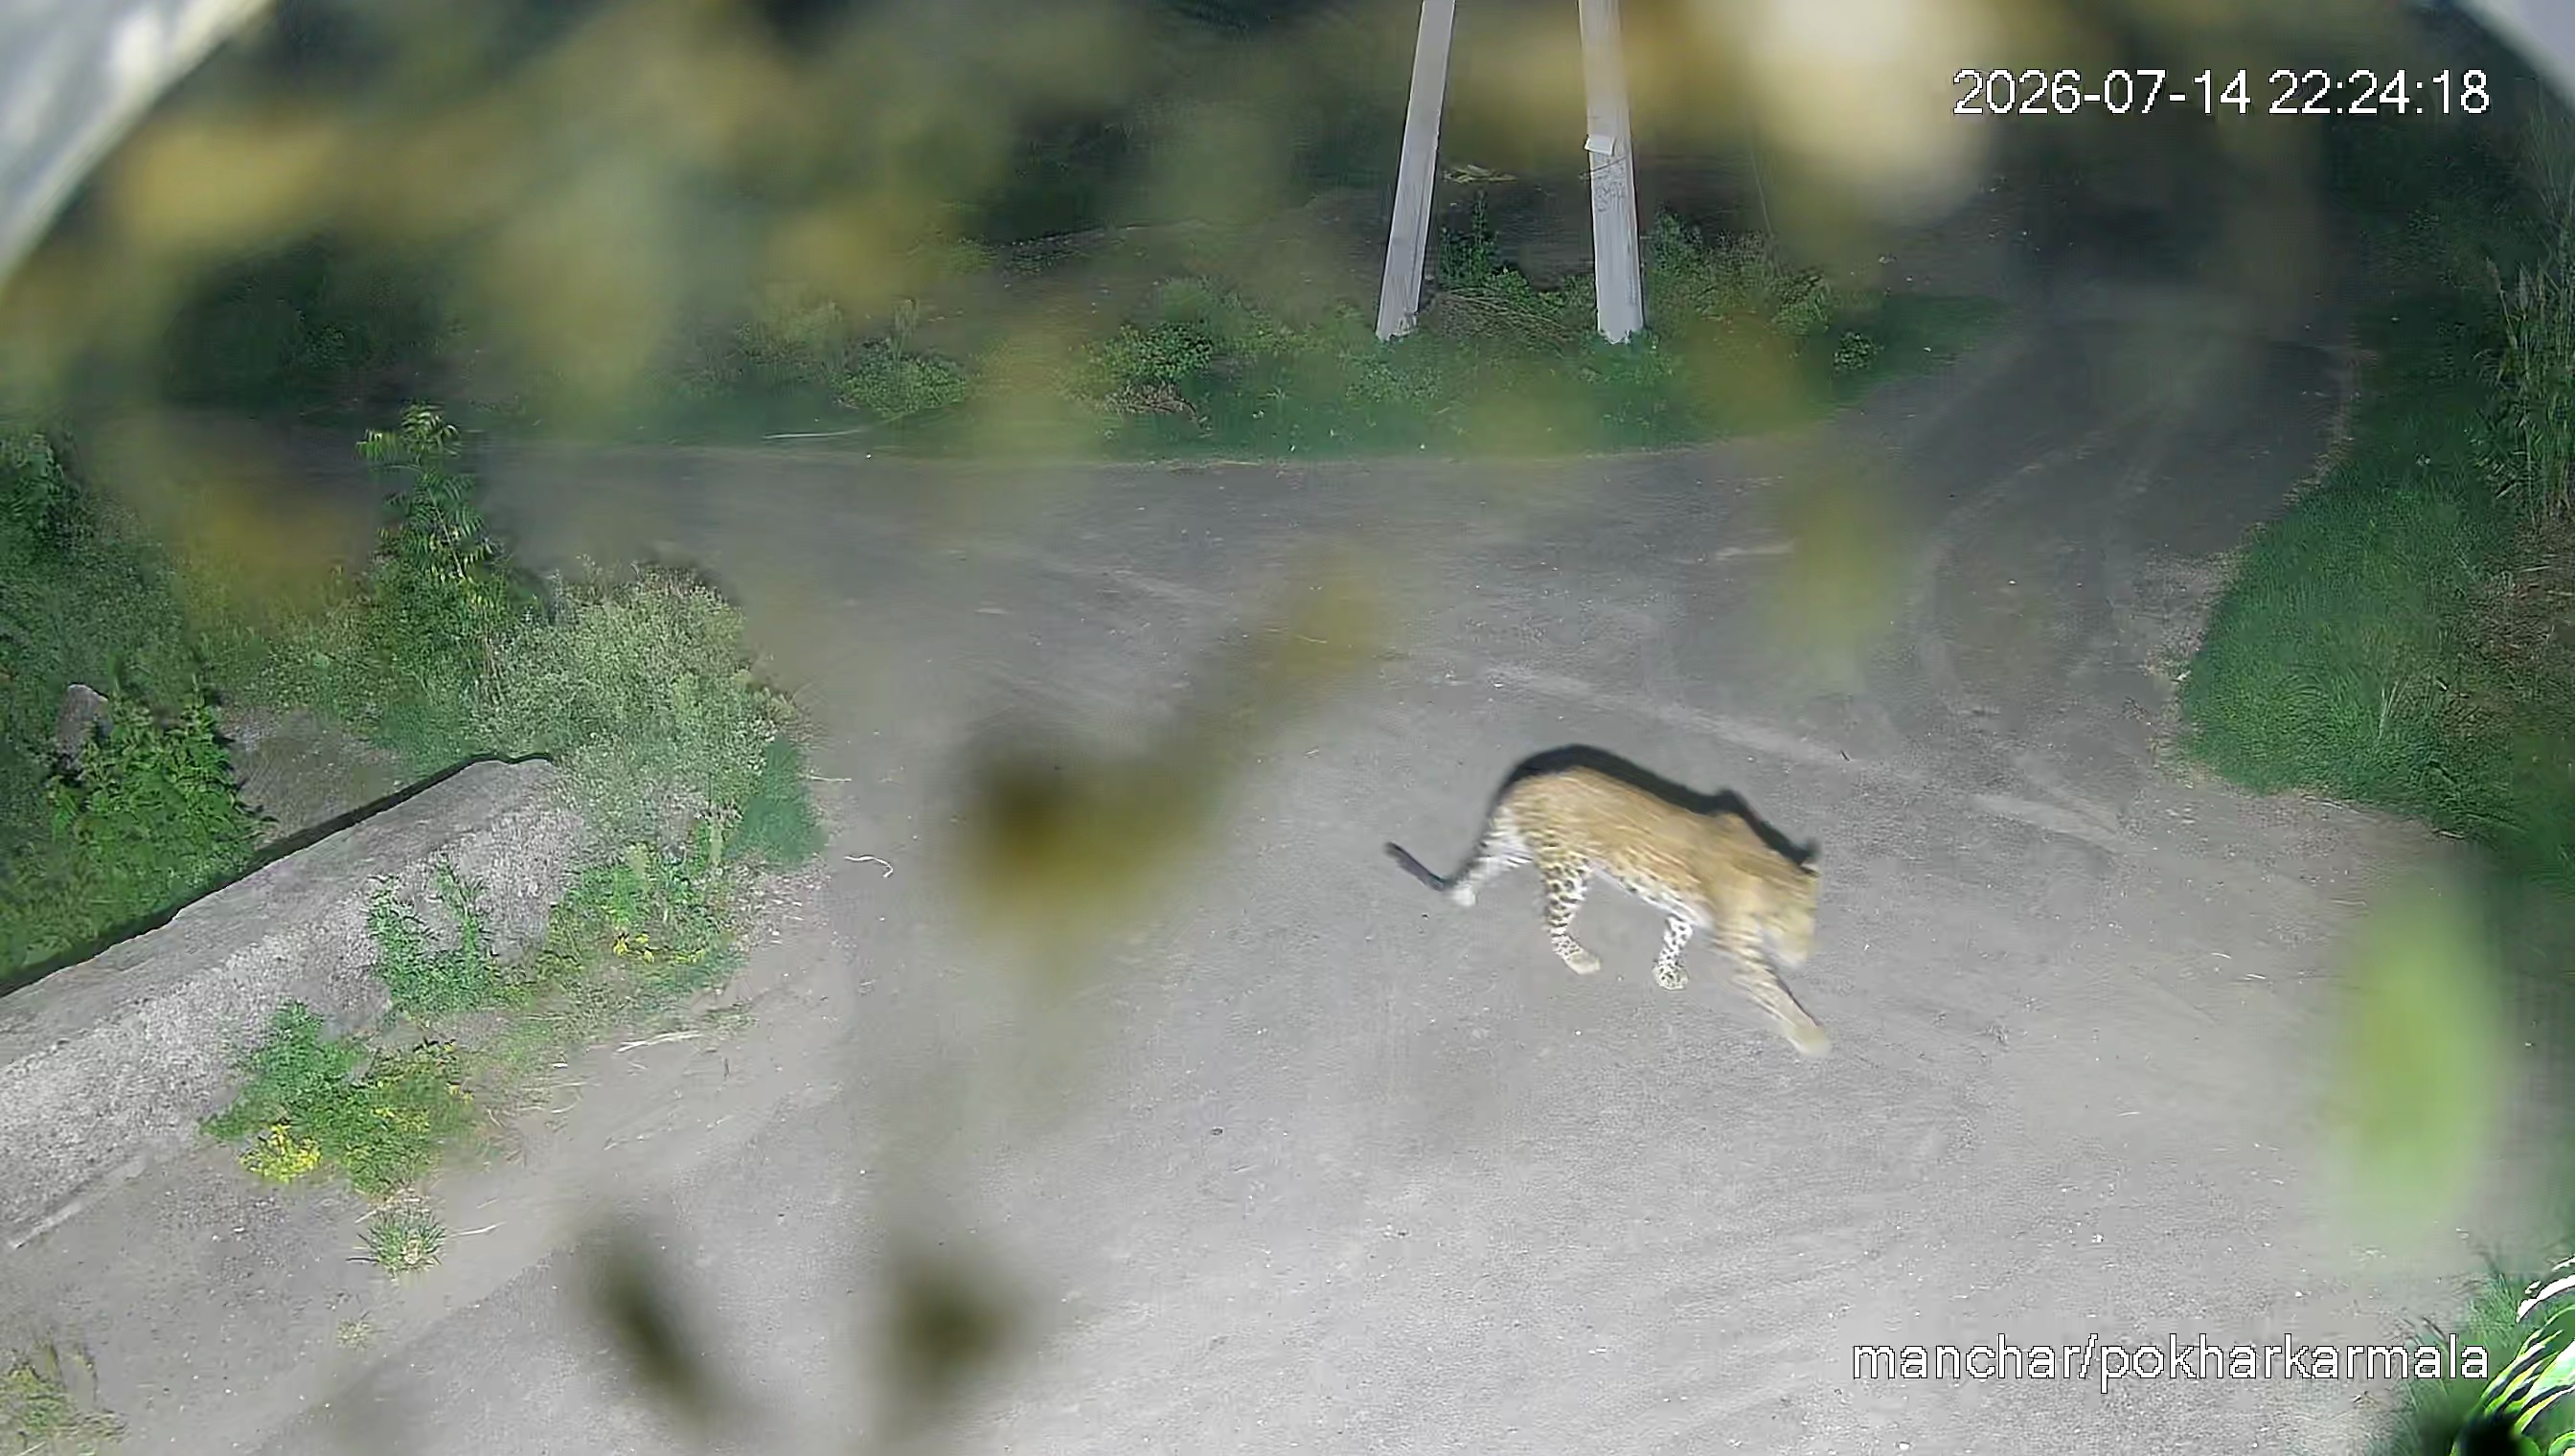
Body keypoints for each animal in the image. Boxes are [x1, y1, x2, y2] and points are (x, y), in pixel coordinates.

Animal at [1385, 751, 1830, 1057]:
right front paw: (1808, 1033)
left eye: (1810, 926)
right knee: (1550, 918)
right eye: (1781, 928)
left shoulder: (1687, 910)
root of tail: (1525, 783)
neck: (1767, 865)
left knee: (1487, 862)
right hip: (1570, 871)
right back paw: (1577, 957)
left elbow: (1675, 936)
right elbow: (1771, 987)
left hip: (1524, 848)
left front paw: (1665, 972)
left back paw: (1463, 892)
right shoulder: (1738, 943)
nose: (1800, 960)